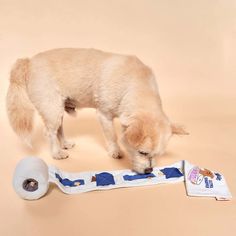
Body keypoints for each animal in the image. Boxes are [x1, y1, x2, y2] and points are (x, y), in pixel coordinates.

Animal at [6, 48, 188, 173]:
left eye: (158, 155)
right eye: (142, 153)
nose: (149, 170)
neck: (136, 85)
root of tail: (29, 61)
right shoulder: (104, 115)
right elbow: (112, 136)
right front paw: (115, 151)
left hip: (57, 109)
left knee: (59, 129)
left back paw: (64, 144)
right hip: (51, 109)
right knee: (49, 132)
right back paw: (57, 152)